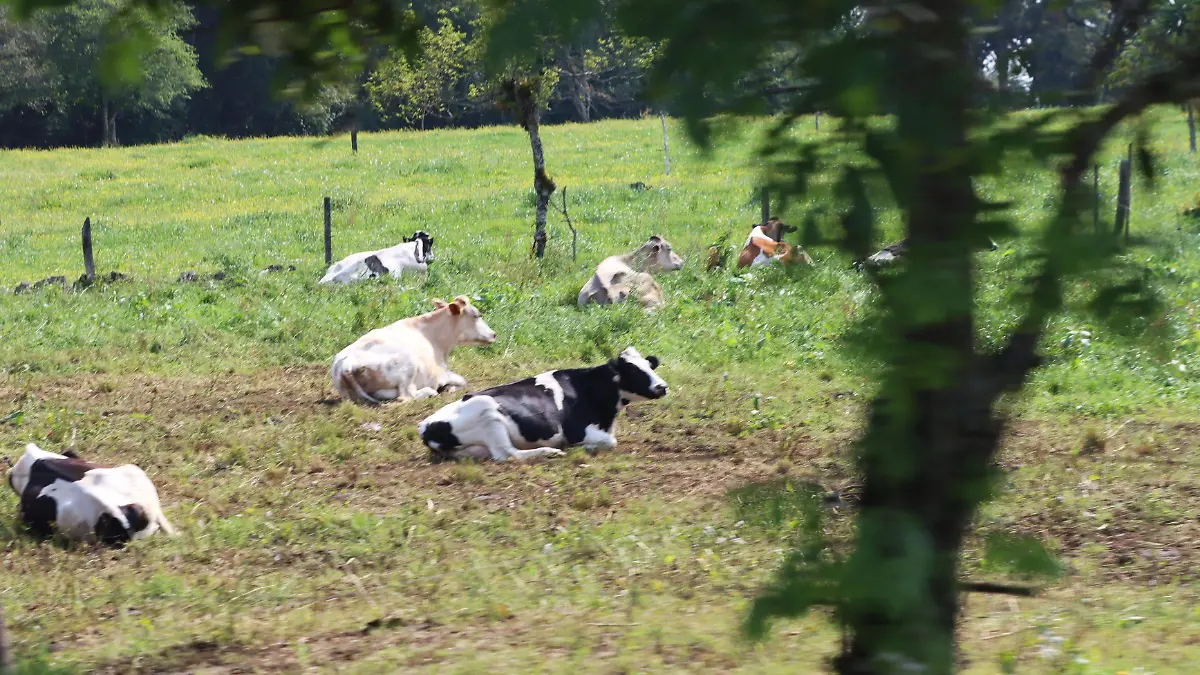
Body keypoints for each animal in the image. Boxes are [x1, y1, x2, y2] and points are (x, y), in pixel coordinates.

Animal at [332, 295, 497, 405]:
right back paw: (430, 392)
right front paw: (449, 388)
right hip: (409, 363)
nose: (494, 334)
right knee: (406, 396)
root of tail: (345, 364)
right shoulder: (441, 373)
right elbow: (462, 380)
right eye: (476, 315)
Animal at [418, 346, 669, 463]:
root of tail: (425, 425)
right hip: (488, 413)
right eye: (633, 370)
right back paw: (551, 452)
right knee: (508, 454)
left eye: (649, 366)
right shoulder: (576, 431)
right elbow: (609, 442)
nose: (662, 387)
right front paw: (582, 448)